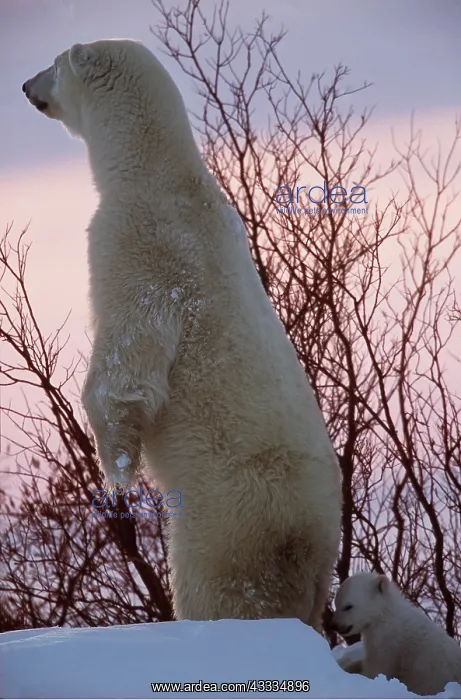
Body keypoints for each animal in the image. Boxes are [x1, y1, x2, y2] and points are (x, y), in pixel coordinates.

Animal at [22, 39, 342, 626]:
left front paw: (115, 475)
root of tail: (313, 543)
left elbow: (125, 363)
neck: (158, 172)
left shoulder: (137, 244)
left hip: (230, 516)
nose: (26, 85)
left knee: (216, 586)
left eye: (52, 64)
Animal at [331, 571, 461, 695]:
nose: (334, 625)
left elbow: (377, 668)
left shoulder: (387, 643)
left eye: (348, 606)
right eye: (336, 604)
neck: (384, 615)